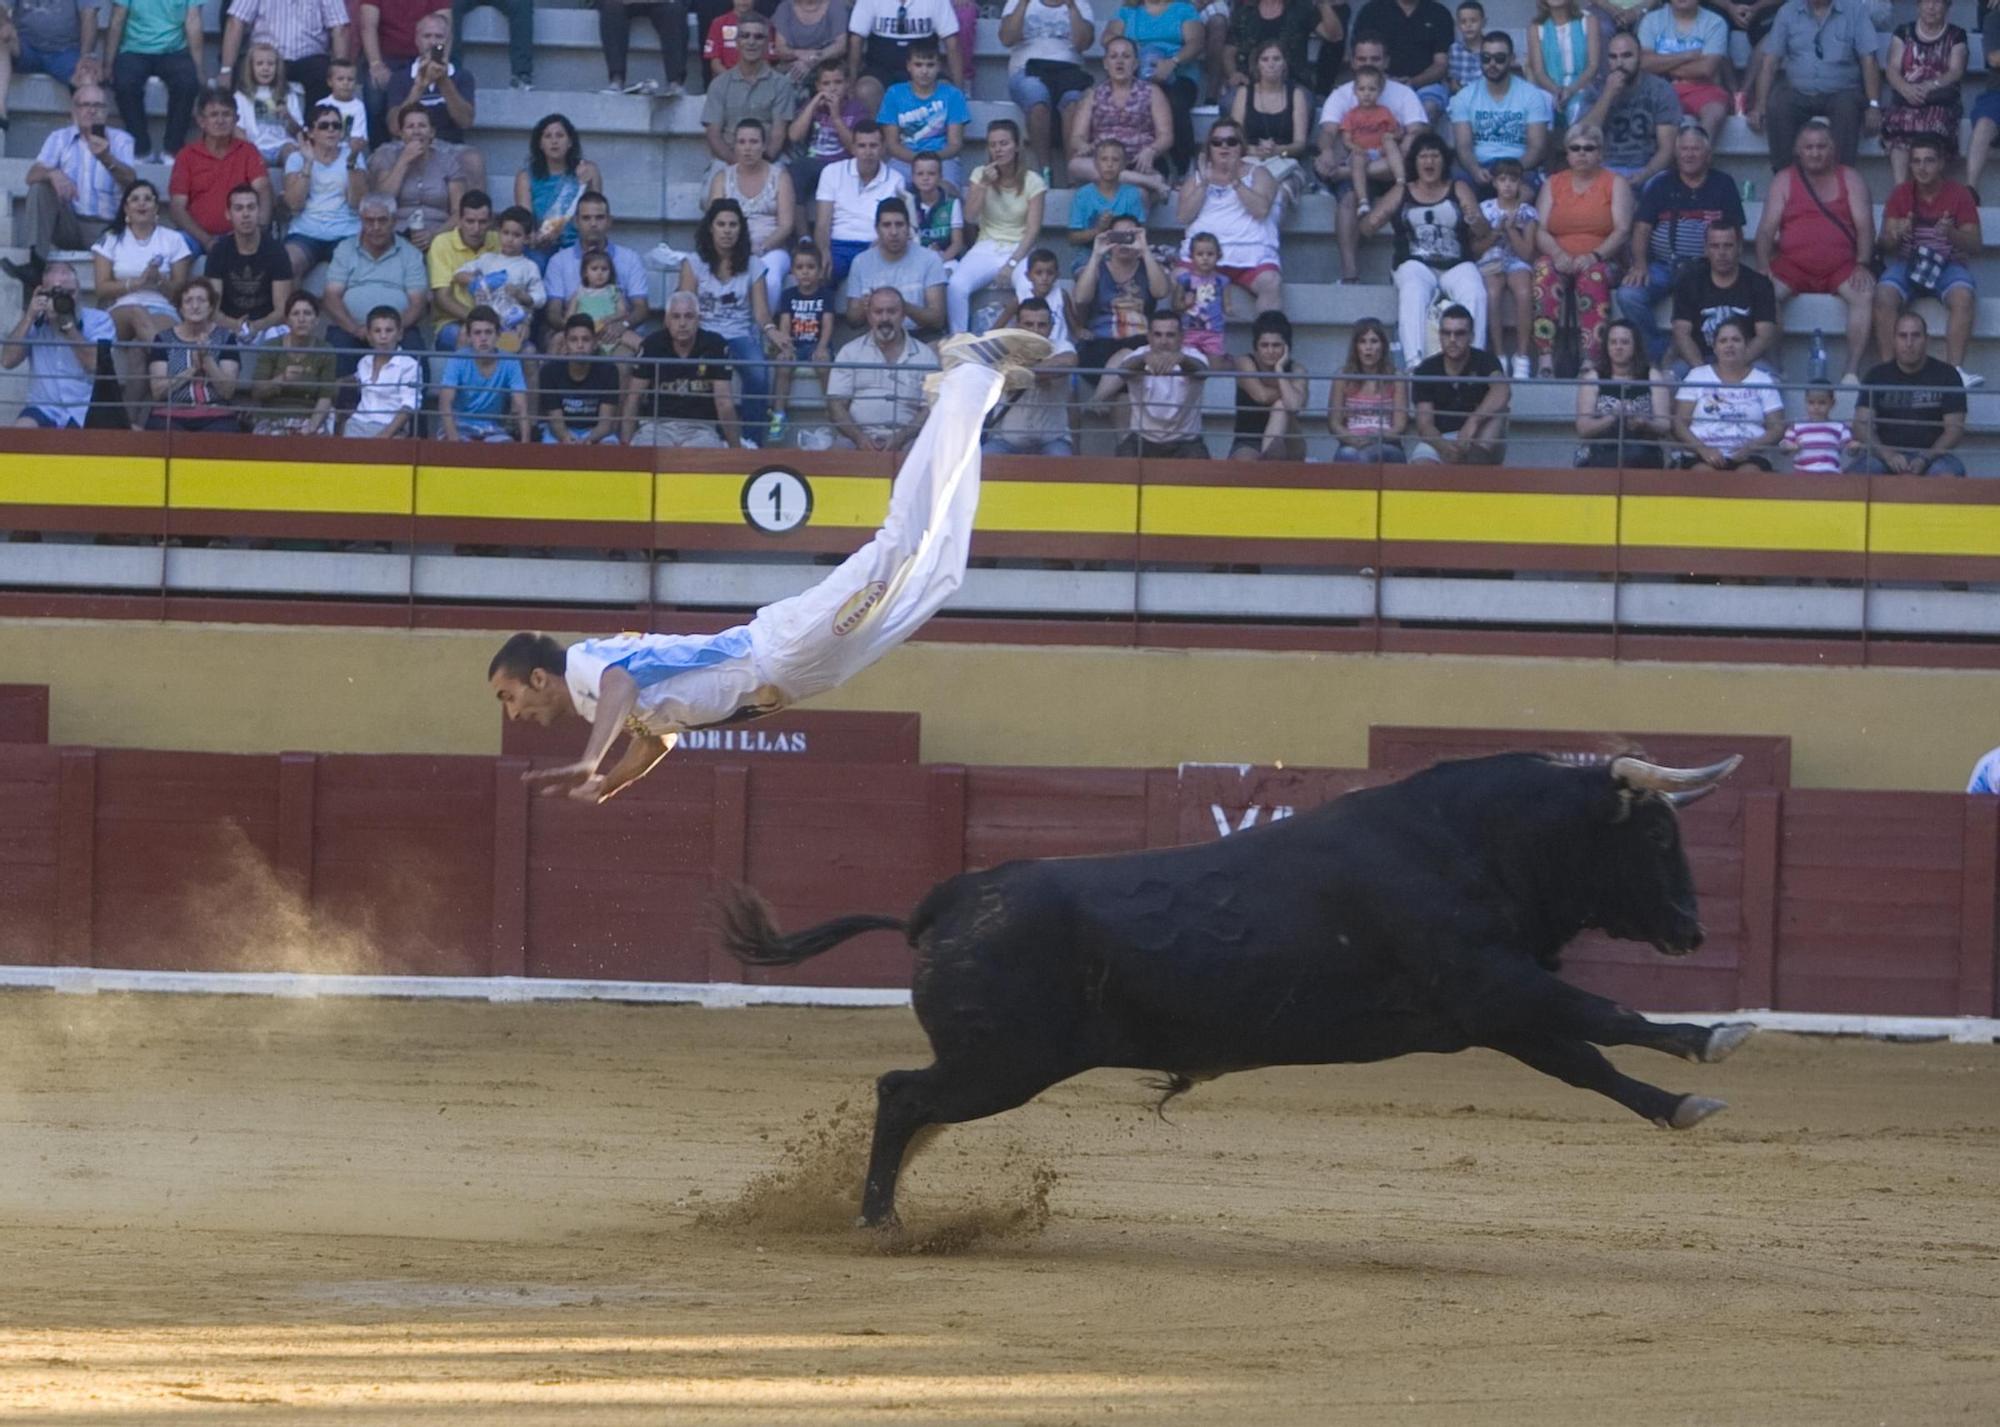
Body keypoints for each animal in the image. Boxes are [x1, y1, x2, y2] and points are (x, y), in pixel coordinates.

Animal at [720, 743, 1752, 1223]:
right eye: (1657, 833)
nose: (1694, 929)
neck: (1472, 843)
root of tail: (951, 896)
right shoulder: (1496, 987)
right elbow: (1608, 1014)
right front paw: (1714, 1038)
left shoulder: (1496, 1008)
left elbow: (1591, 1061)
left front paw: (1683, 1101)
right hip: (1000, 1065)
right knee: (901, 1095)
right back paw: (879, 1218)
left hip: (996, 1064)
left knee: (908, 1101)